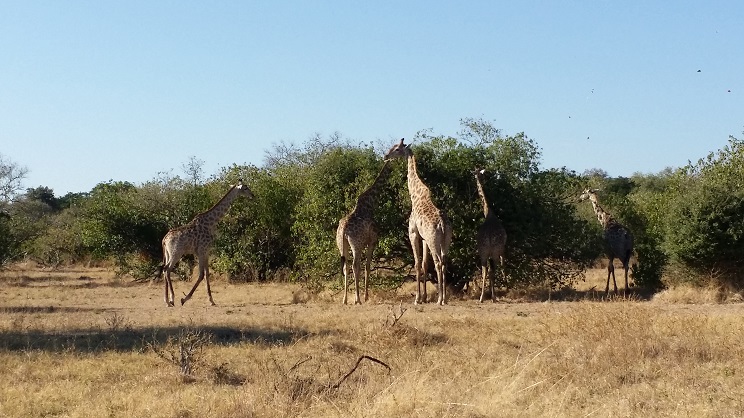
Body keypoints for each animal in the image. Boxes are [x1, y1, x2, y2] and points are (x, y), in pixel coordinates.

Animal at [338, 160, 396, 304]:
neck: (369, 205)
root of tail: (344, 228)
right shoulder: (372, 241)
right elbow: (368, 266)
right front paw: (365, 296)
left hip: (342, 244)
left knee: (346, 266)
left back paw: (345, 299)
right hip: (356, 245)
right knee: (354, 266)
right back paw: (357, 299)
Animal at [384, 139, 454, 306]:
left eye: (397, 149)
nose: (385, 156)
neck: (415, 196)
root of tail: (442, 224)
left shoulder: (413, 233)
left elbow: (417, 263)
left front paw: (417, 299)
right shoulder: (424, 238)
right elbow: (424, 264)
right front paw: (424, 297)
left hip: (434, 240)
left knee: (438, 263)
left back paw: (440, 299)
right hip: (445, 240)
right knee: (444, 262)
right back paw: (445, 298)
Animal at [474, 168, 508, 302]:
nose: (484, 178)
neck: (488, 212)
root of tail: (488, 238)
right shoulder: (501, 250)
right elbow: (502, 265)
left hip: (482, 252)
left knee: (484, 270)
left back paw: (482, 297)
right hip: (494, 252)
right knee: (492, 271)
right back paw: (493, 297)